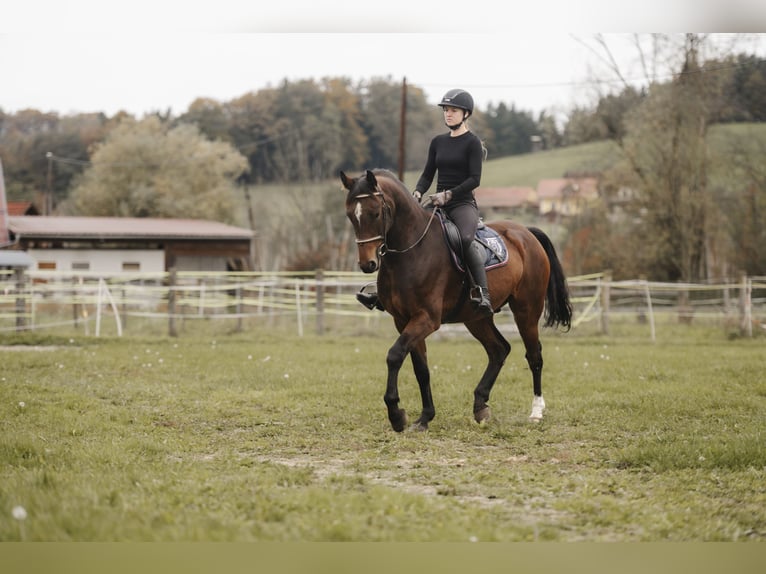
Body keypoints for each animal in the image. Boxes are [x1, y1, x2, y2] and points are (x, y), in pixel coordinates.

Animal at [340, 168, 572, 432]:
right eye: (350, 215)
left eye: (376, 213)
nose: (367, 264)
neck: (412, 251)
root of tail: (525, 233)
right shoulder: (404, 320)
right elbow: (421, 370)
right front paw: (424, 417)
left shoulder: (427, 319)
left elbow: (395, 355)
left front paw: (396, 415)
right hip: (477, 318)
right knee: (499, 350)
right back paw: (480, 405)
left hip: (527, 311)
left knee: (534, 356)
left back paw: (536, 411)